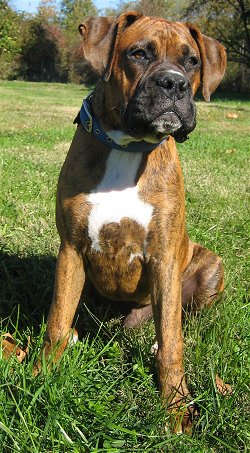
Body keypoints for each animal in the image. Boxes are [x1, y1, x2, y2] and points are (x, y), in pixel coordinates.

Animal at [37, 12, 227, 432]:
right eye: (138, 54)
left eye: (192, 62)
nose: (174, 82)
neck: (128, 146)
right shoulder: (71, 249)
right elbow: (57, 320)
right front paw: (42, 376)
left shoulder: (164, 258)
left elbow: (173, 344)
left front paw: (176, 408)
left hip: (209, 268)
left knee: (176, 322)